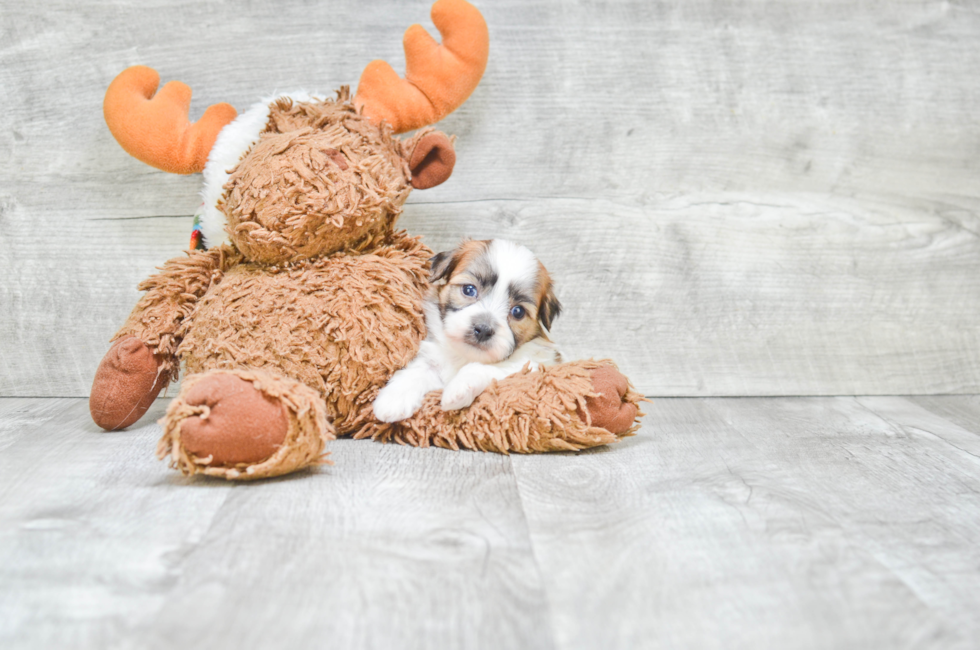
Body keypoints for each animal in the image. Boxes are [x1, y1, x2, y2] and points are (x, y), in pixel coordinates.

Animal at [372, 238, 564, 420]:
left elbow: (483, 367)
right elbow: (418, 371)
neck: (464, 356)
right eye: (469, 290)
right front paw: (394, 399)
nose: (484, 329)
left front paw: (458, 388)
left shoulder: (528, 367)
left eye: (518, 312)